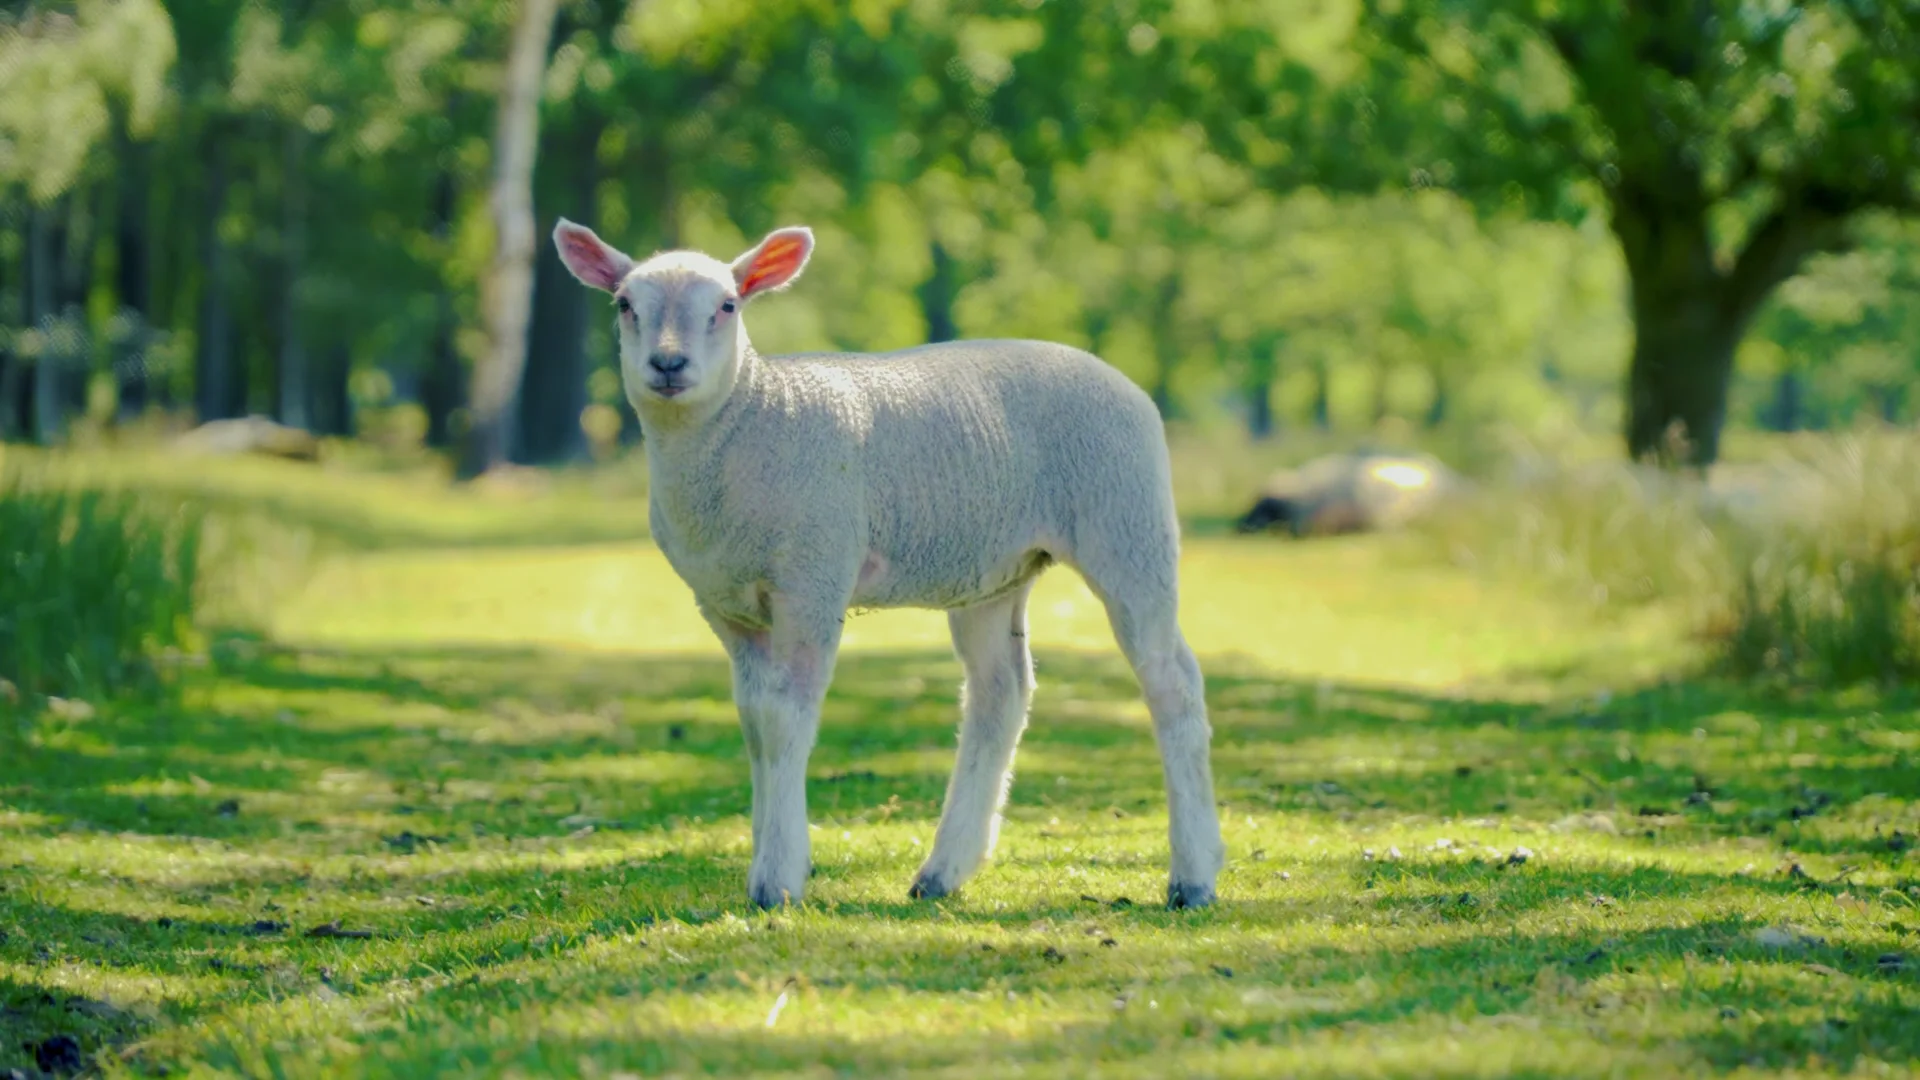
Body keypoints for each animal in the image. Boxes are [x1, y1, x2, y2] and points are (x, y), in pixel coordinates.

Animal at [549, 219, 1221, 907]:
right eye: (624, 304)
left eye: (728, 305)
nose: (667, 364)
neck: (750, 419)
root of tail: (1124, 382)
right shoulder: (725, 605)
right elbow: (754, 724)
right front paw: (765, 860)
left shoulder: (813, 577)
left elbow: (784, 720)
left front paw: (779, 878)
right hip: (995, 568)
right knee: (999, 692)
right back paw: (945, 870)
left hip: (1128, 524)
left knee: (1172, 683)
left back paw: (1193, 877)